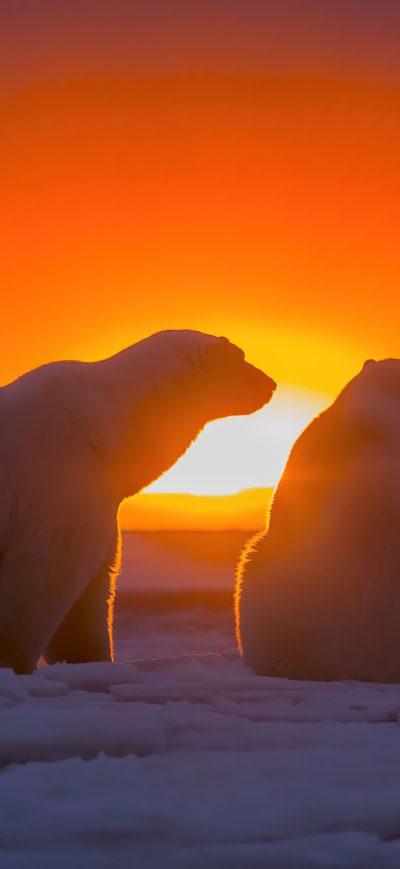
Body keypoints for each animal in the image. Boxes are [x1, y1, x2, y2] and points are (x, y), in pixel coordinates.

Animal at [0, 329, 276, 673]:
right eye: (239, 358)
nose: (270, 383)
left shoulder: (99, 504)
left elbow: (90, 596)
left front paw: (93, 660)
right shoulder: (58, 486)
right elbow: (43, 578)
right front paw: (14, 663)